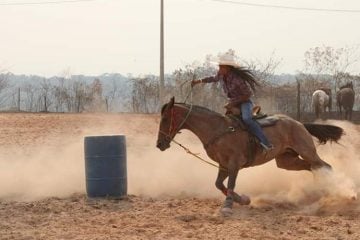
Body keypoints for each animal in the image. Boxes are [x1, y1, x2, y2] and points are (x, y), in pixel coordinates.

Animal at [157, 96, 344, 215]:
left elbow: (230, 183)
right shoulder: (223, 165)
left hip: (307, 151)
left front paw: (228, 206)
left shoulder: (234, 163)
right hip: (287, 160)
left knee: (324, 165)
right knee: (314, 167)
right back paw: (318, 190)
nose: (159, 144)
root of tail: (299, 123)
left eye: (165, 119)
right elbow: (219, 184)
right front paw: (242, 200)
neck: (218, 129)